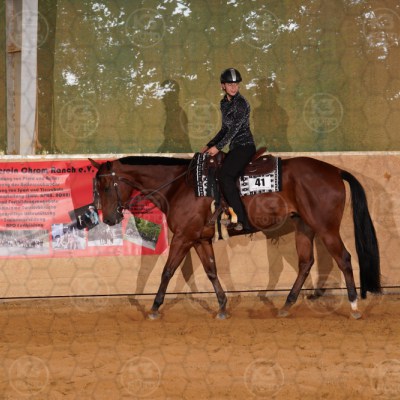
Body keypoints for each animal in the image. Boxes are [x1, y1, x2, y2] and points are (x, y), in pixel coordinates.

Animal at [89, 154, 381, 320]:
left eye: (106, 185)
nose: (109, 219)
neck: (180, 185)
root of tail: (334, 170)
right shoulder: (200, 239)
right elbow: (211, 271)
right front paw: (222, 306)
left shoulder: (183, 237)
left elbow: (167, 271)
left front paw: (154, 307)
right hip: (304, 227)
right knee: (306, 263)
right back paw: (286, 305)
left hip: (326, 228)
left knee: (344, 258)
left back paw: (354, 306)